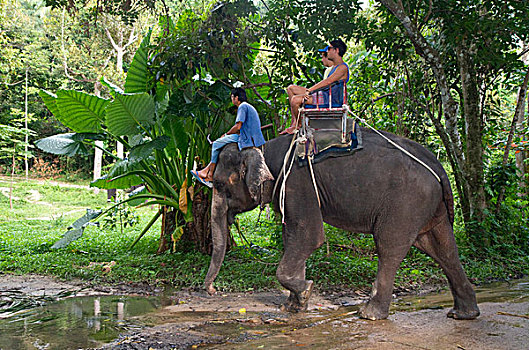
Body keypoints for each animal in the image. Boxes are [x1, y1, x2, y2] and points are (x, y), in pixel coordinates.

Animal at [201, 127, 478, 322]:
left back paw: (369, 314)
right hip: (429, 206)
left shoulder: (298, 183)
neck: (263, 147)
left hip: (406, 203)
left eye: (219, 185)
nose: (212, 290)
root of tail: (438, 167)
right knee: (442, 248)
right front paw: (294, 305)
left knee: (389, 247)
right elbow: (292, 238)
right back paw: (463, 314)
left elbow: (309, 236)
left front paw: (306, 290)